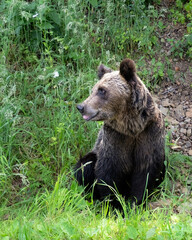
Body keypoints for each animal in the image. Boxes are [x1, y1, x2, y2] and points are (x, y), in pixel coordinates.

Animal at [75, 58, 165, 208]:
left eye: (102, 90)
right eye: (93, 89)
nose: (81, 107)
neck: (132, 127)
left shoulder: (149, 135)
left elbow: (146, 173)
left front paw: (136, 202)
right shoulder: (115, 138)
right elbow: (108, 173)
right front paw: (115, 205)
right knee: (85, 165)